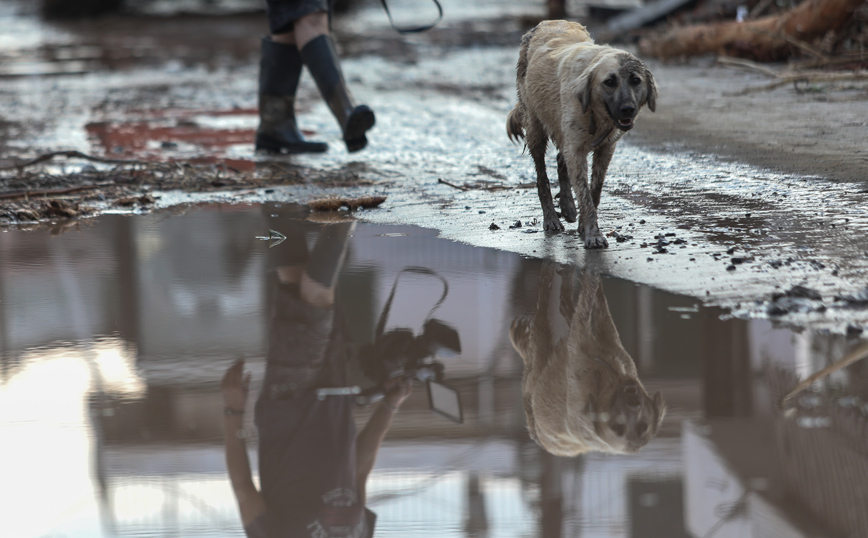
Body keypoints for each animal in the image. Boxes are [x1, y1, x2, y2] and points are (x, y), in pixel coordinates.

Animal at [506, 19, 656, 248]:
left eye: (635, 80)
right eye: (609, 82)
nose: (628, 109)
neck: (596, 113)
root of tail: (546, 22)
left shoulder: (605, 148)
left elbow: (594, 191)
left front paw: (584, 226)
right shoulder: (576, 150)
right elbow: (584, 194)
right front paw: (593, 235)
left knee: (561, 160)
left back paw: (567, 207)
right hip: (535, 129)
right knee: (542, 177)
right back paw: (551, 219)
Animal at [508, 262, 664, 454]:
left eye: (643, 426)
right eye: (618, 427)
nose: (633, 402)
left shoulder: (612, 347)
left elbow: (595, 311)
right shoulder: (581, 356)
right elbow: (588, 308)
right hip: (538, 360)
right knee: (544, 307)